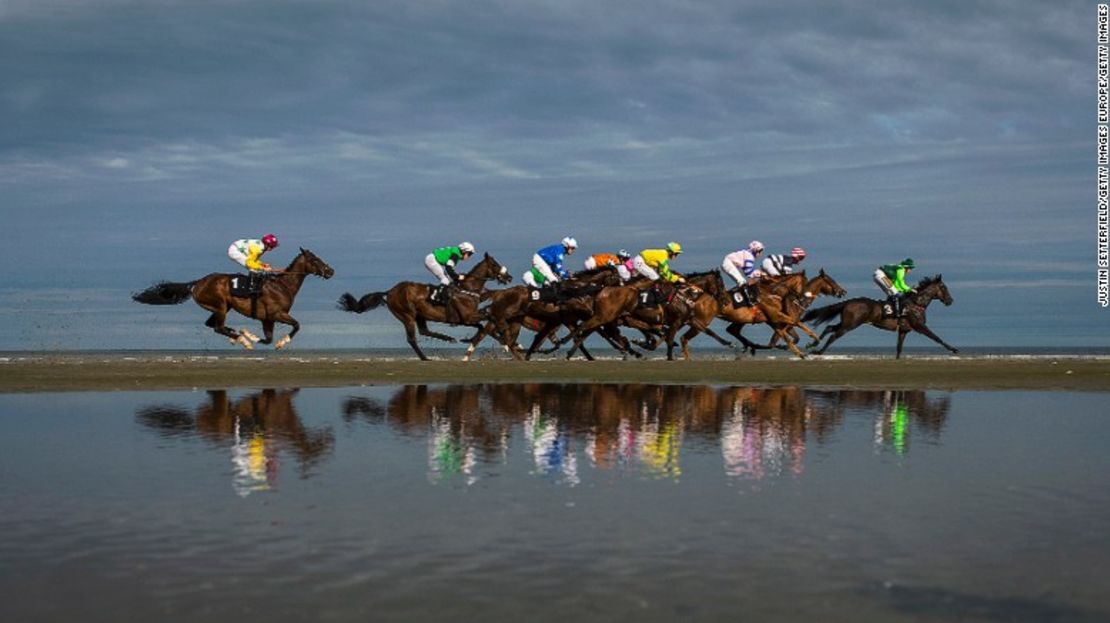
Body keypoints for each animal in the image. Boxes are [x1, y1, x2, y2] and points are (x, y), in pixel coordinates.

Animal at [335, 250, 512, 359]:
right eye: (495, 265)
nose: (509, 277)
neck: (467, 289)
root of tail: (389, 292)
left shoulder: (467, 319)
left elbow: (483, 327)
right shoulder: (468, 317)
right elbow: (490, 318)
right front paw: (505, 342)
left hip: (420, 315)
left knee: (424, 331)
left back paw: (448, 339)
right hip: (407, 316)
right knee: (412, 339)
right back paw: (425, 358)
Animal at [803, 274, 959, 357]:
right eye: (944, 287)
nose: (950, 301)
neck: (916, 303)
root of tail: (849, 302)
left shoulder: (903, 330)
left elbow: (899, 348)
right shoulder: (919, 326)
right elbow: (936, 338)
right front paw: (953, 349)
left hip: (847, 322)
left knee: (829, 327)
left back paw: (812, 344)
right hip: (850, 324)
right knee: (833, 335)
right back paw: (819, 351)